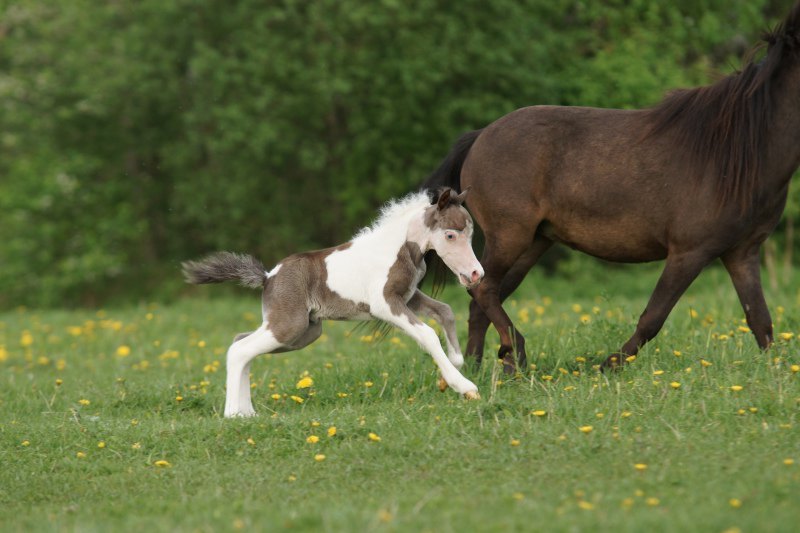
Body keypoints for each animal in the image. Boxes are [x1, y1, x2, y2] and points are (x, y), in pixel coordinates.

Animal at [181, 187, 482, 416]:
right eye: (451, 235)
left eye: (471, 234)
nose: (476, 274)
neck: (399, 250)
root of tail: (268, 277)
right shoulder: (385, 304)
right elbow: (428, 334)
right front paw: (464, 386)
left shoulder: (409, 296)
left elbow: (445, 311)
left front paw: (455, 360)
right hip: (288, 326)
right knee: (239, 349)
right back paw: (234, 414)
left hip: (303, 332)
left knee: (241, 342)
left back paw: (247, 412)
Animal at [422, 3, 800, 370]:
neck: (737, 154)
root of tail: (479, 137)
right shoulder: (689, 252)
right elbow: (654, 317)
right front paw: (609, 365)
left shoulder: (742, 252)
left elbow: (760, 320)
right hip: (510, 236)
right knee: (483, 289)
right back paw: (515, 355)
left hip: (534, 242)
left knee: (483, 297)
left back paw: (480, 369)